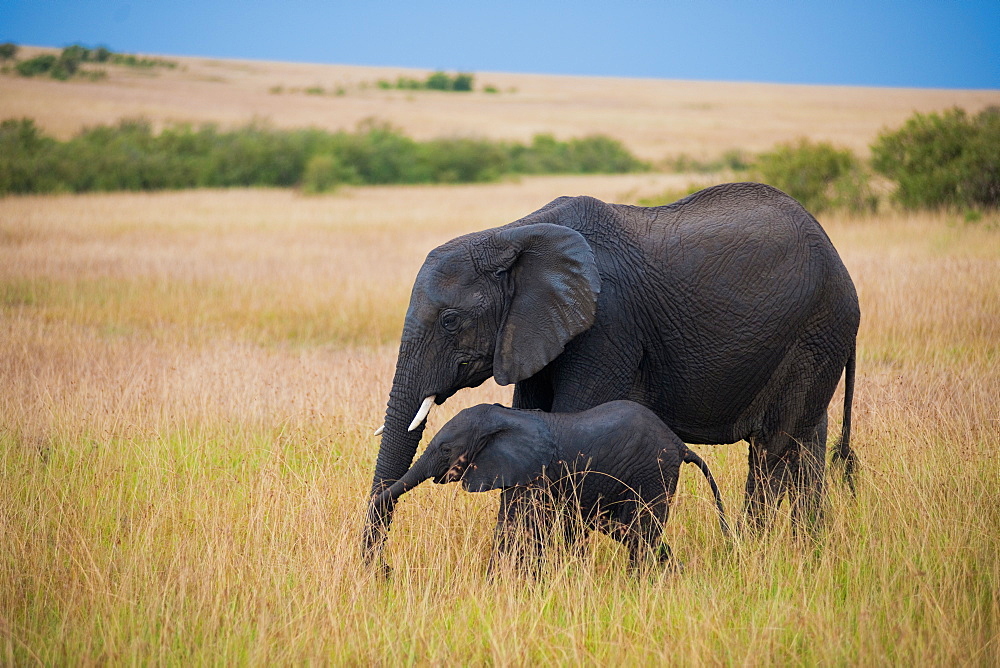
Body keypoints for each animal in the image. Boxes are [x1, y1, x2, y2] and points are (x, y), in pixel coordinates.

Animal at [372, 400, 732, 572]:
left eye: (445, 449)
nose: (388, 571)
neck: (509, 417)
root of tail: (679, 444)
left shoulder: (535, 472)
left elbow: (515, 528)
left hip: (653, 472)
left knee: (641, 532)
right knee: (633, 532)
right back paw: (673, 571)